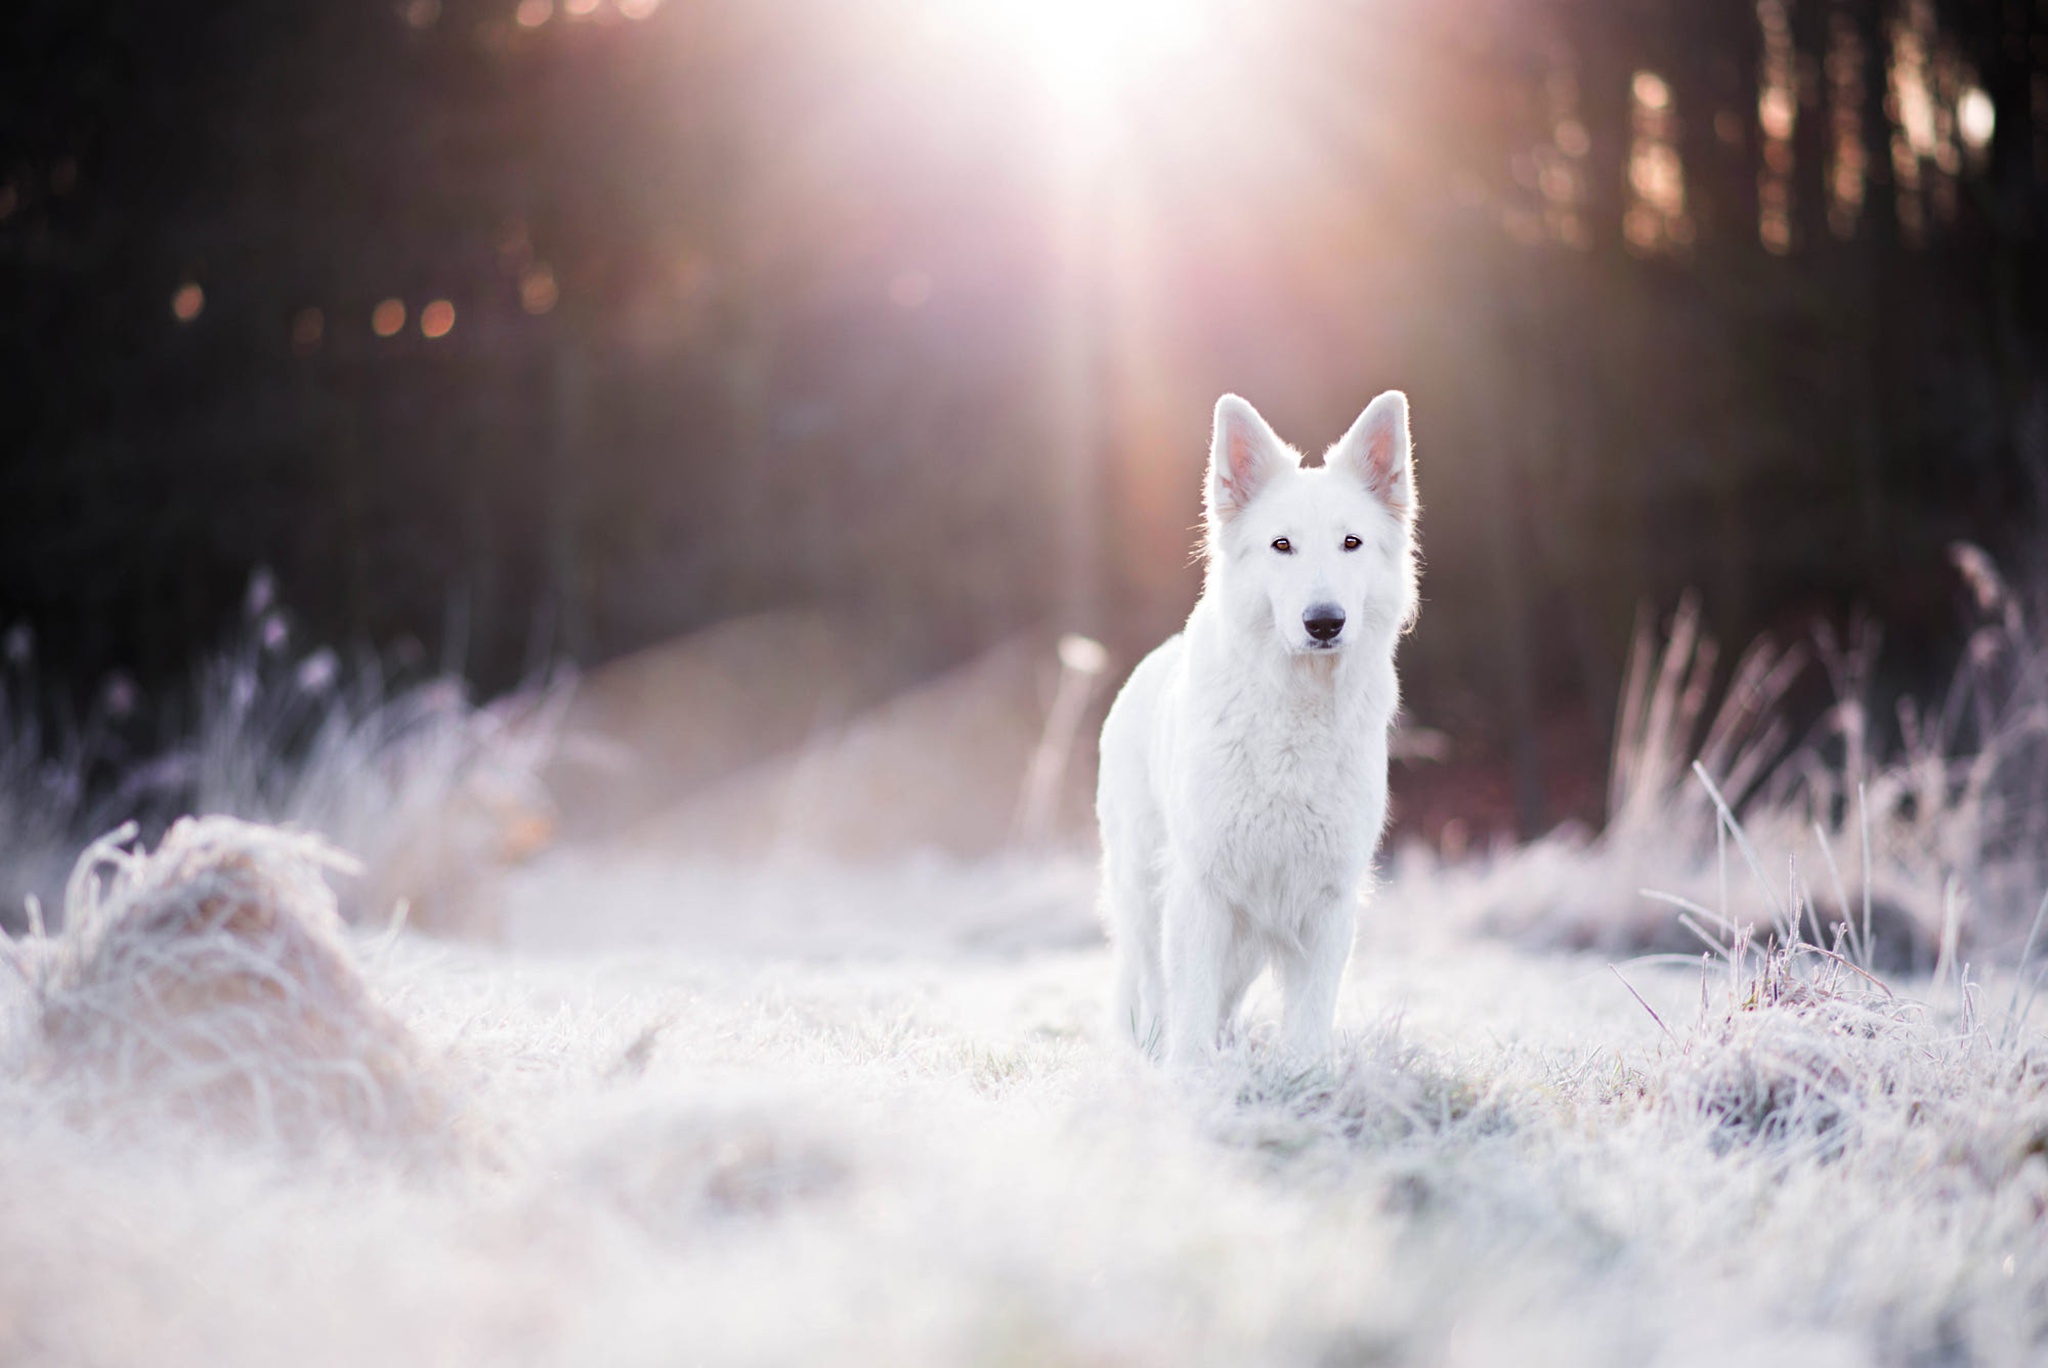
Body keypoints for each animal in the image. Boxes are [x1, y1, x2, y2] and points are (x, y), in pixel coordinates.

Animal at [1097, 389, 1417, 1064]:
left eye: (1351, 542)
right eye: (1281, 545)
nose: (1325, 622)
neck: (1296, 709)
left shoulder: (1328, 898)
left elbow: (1310, 1018)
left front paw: (1306, 1079)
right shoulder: (1201, 890)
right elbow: (1188, 1006)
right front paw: (1190, 1077)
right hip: (1144, 896)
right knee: (1152, 989)